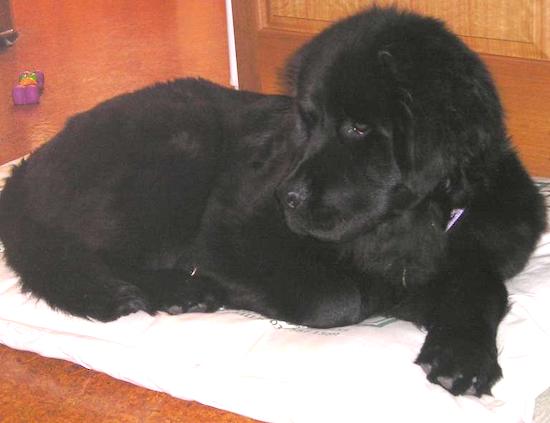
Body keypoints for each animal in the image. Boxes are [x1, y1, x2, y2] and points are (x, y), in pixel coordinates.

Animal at [0, 7, 548, 398]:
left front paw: (462, 354)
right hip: (183, 142)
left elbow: (482, 285)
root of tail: (29, 166)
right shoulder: (227, 232)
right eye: (309, 120)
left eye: (359, 128)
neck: (402, 225)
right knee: (96, 254)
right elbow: (337, 299)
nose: (289, 197)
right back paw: (180, 289)